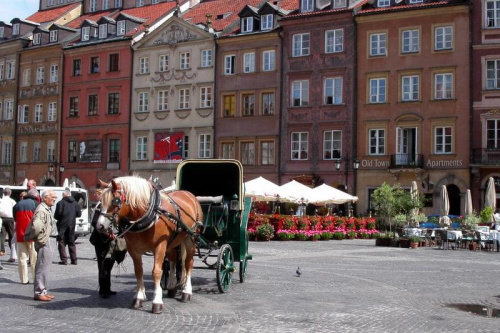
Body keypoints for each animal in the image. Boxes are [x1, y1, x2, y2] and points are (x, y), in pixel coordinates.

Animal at [95, 175, 201, 312]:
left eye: (115, 201)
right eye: (100, 202)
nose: (100, 226)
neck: (149, 214)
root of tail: (189, 194)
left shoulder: (160, 246)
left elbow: (156, 272)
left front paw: (157, 301)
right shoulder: (133, 249)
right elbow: (138, 271)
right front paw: (139, 297)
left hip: (190, 238)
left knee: (188, 263)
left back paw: (186, 292)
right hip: (172, 242)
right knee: (173, 260)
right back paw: (171, 286)